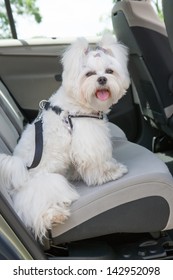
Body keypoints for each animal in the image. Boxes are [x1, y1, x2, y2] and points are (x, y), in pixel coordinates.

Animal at [0, 34, 130, 241]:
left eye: (109, 71)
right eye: (89, 74)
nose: (102, 79)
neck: (78, 103)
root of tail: (19, 170)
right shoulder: (88, 139)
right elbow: (98, 161)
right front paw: (112, 173)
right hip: (45, 183)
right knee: (36, 205)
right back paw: (54, 215)